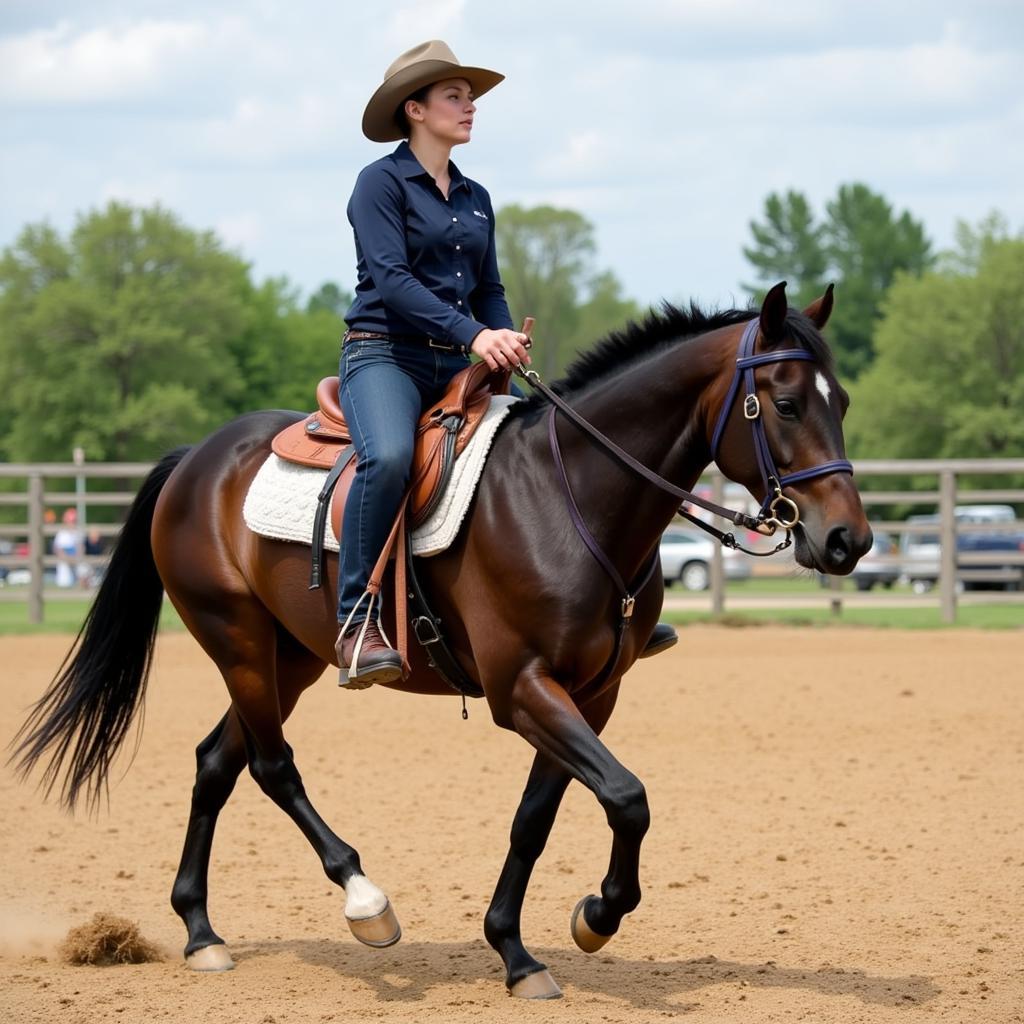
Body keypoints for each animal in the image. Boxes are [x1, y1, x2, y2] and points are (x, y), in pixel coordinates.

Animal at [12, 280, 868, 999]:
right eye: (785, 403)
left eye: (844, 401)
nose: (848, 541)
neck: (567, 496)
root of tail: (197, 459)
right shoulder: (521, 689)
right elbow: (627, 797)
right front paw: (595, 915)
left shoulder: (589, 695)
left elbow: (540, 817)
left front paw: (524, 949)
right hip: (240, 644)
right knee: (270, 765)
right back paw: (365, 900)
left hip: (292, 659)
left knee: (216, 763)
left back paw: (200, 931)